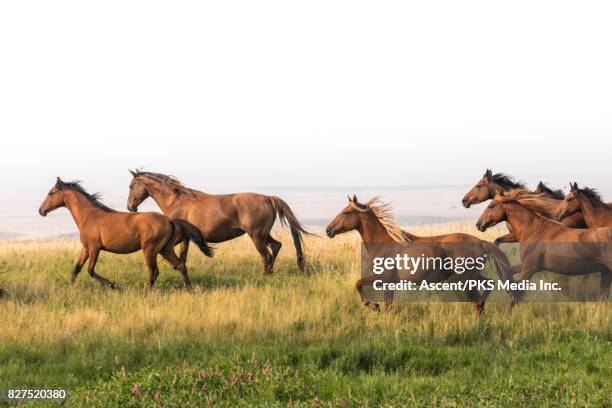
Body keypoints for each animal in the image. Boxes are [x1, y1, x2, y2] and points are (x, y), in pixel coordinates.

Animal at [38, 178, 215, 290]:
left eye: (51, 193)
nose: (41, 211)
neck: (89, 216)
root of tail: (170, 220)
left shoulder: (95, 248)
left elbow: (90, 270)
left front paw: (113, 285)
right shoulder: (86, 248)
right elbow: (77, 268)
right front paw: (69, 288)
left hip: (150, 250)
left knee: (154, 271)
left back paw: (145, 291)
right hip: (165, 249)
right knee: (180, 265)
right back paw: (189, 289)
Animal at [126, 169, 314, 274]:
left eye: (131, 186)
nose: (130, 207)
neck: (176, 201)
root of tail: (268, 198)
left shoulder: (181, 237)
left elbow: (180, 256)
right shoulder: (186, 238)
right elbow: (183, 257)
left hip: (256, 236)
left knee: (266, 255)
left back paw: (264, 276)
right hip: (263, 234)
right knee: (276, 246)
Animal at [326, 196, 520, 314]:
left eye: (345, 212)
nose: (328, 230)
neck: (386, 244)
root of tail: (479, 241)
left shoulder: (383, 278)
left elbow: (359, 283)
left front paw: (373, 306)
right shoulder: (390, 283)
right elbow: (388, 305)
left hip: (465, 277)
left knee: (478, 296)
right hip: (472, 275)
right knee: (488, 285)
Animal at [478, 190, 612, 302]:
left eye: (491, 206)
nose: (479, 224)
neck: (533, 230)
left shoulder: (529, 268)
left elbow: (518, 294)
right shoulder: (528, 266)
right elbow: (510, 269)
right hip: (605, 273)